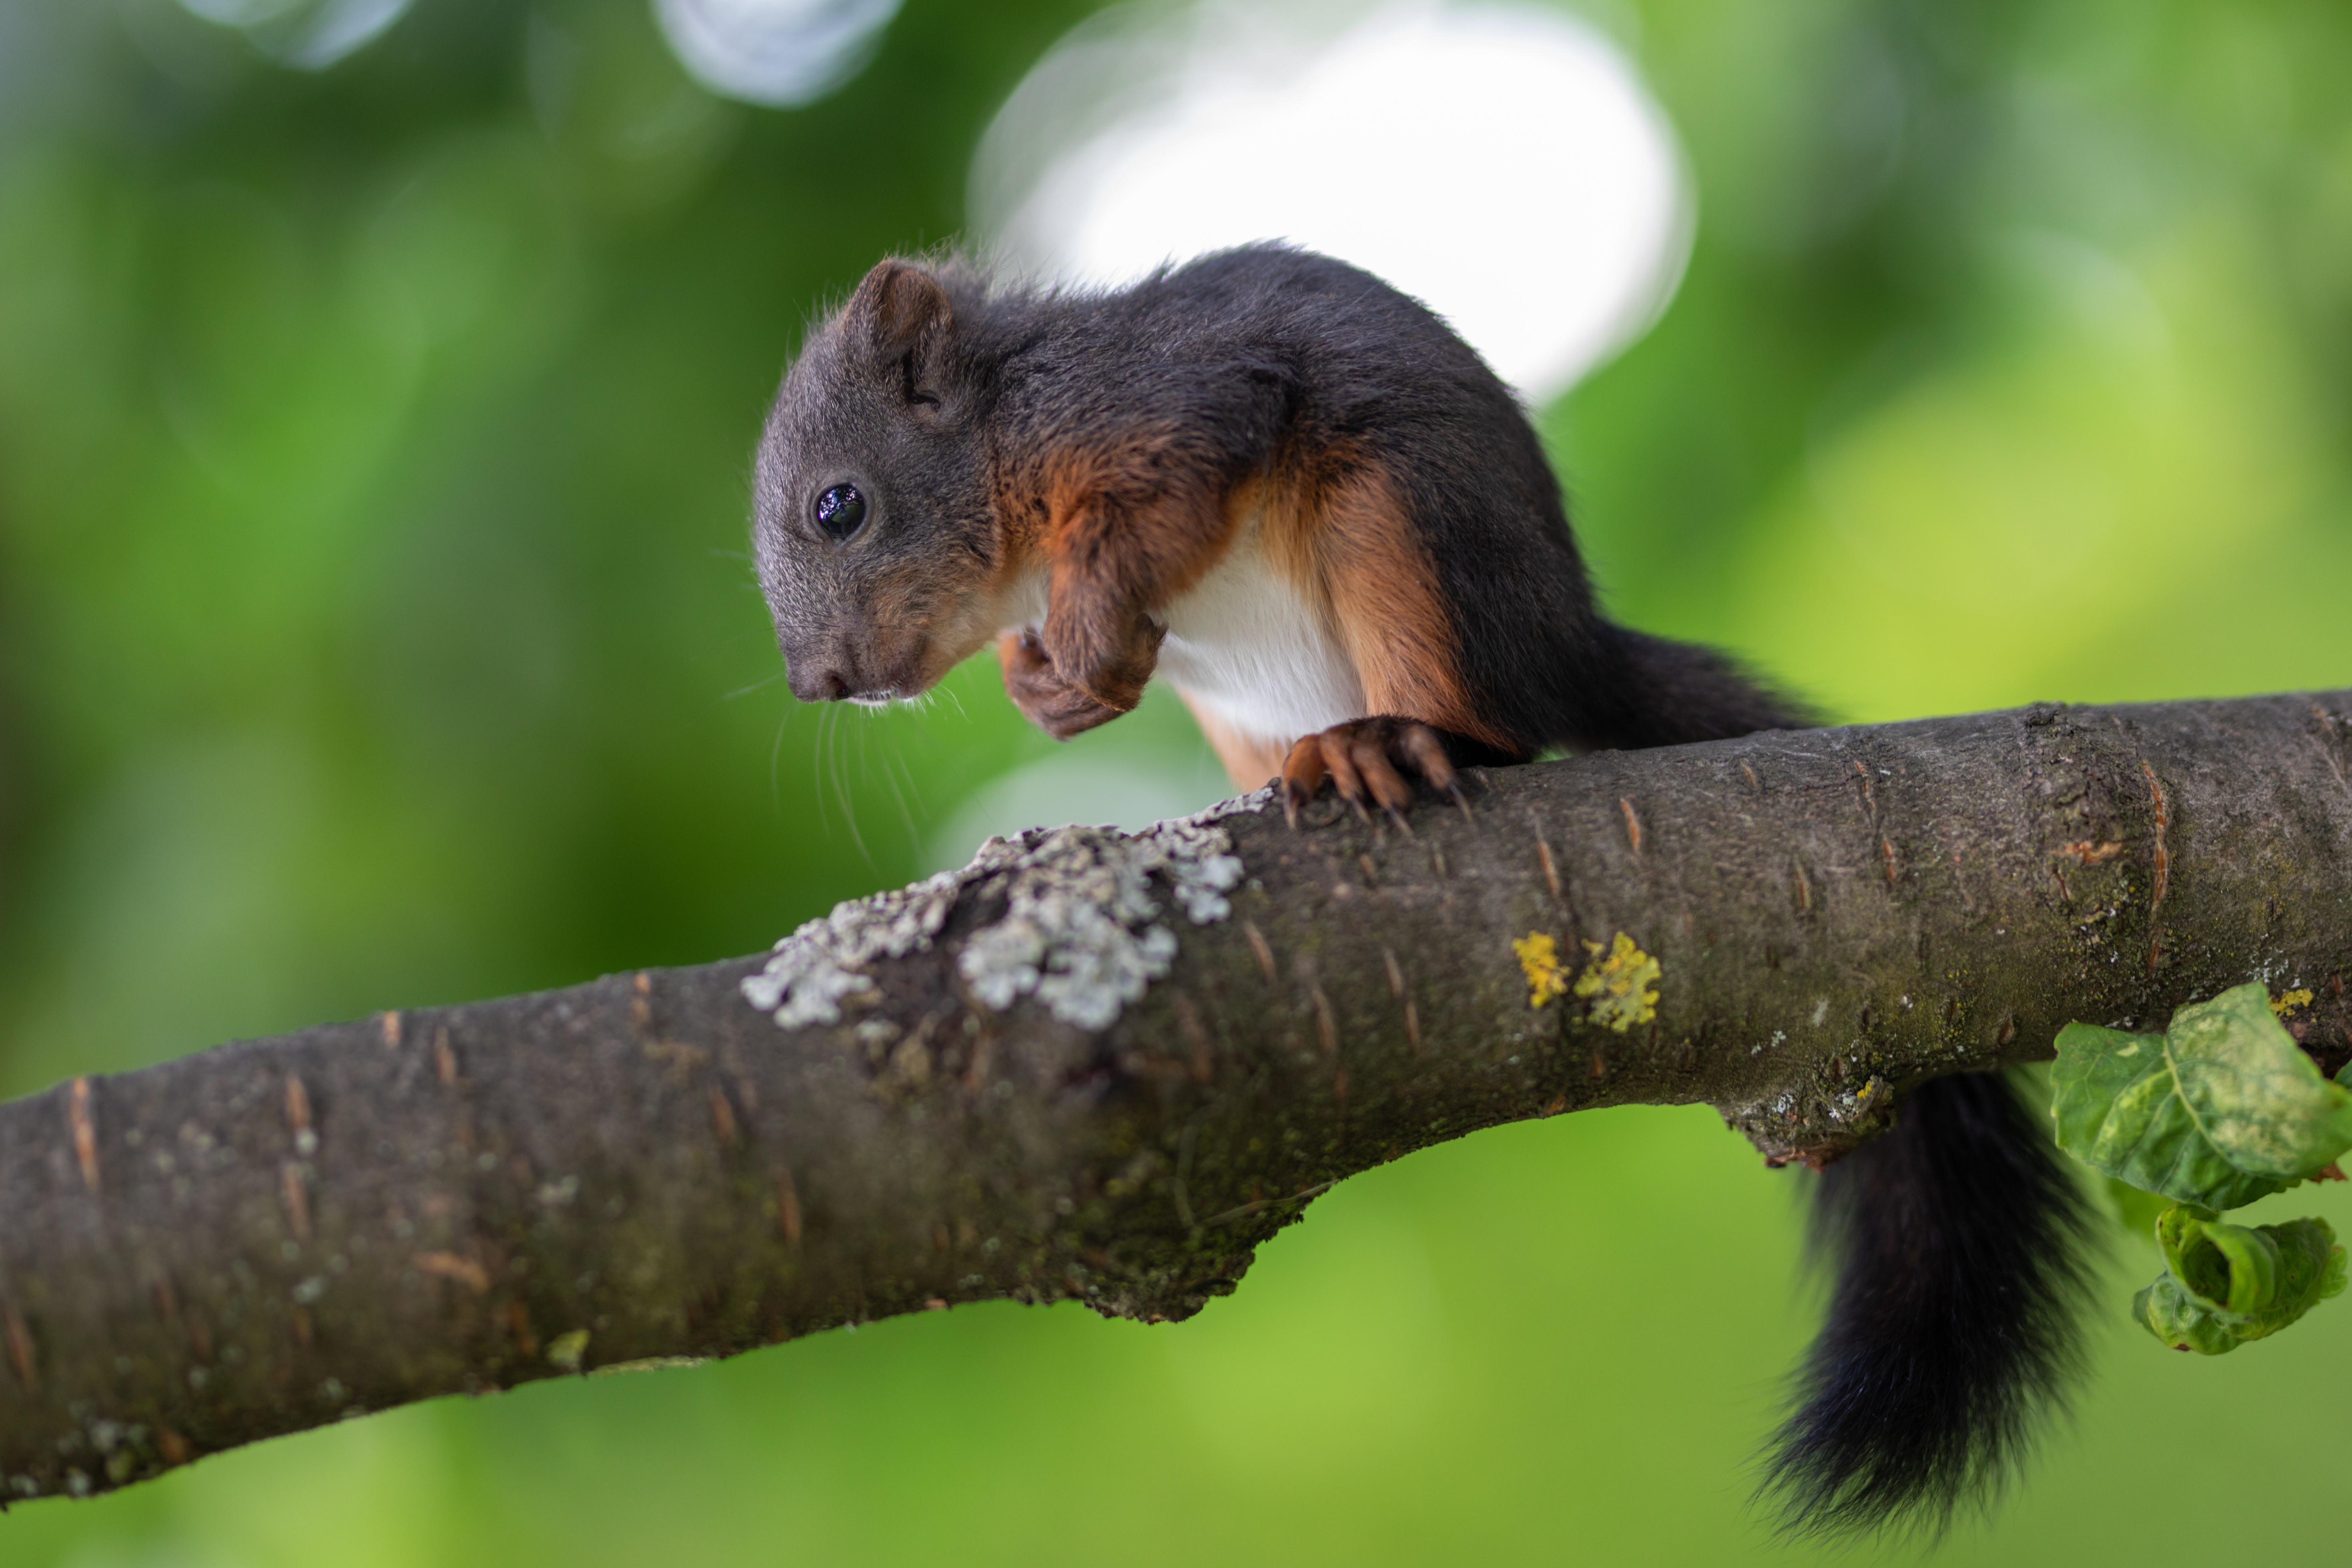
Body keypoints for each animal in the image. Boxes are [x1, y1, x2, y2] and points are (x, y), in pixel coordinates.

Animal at [752, 242, 2098, 1533]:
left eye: (840, 505)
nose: (820, 683)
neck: (1005, 452)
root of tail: (1568, 646)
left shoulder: (1164, 404)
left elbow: (1171, 491)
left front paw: (1082, 644)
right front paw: (1044, 681)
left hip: (1396, 524)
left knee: (1500, 730)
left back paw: (1392, 744)